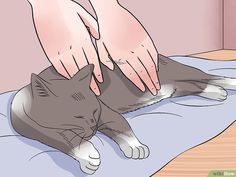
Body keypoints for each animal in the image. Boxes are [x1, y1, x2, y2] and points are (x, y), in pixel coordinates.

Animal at [10, 54, 236, 174]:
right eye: (77, 117)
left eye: (94, 111)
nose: (93, 128)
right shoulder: (35, 131)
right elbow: (64, 141)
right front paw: (88, 155)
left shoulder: (105, 112)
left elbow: (121, 125)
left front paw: (135, 147)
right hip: (176, 88)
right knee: (197, 85)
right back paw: (216, 92)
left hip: (178, 73)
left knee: (208, 75)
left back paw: (228, 83)